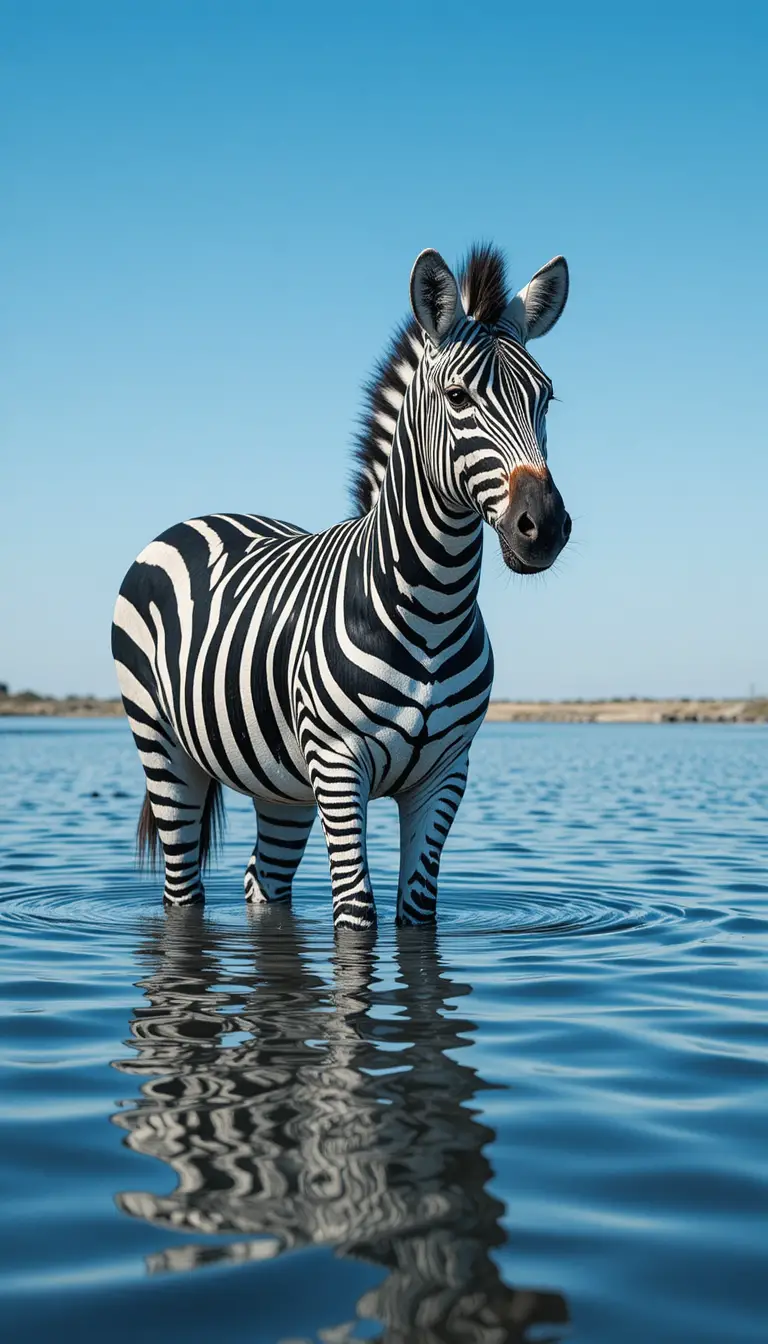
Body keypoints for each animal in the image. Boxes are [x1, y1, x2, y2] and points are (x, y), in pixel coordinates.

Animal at [112, 243, 571, 929]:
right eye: (457, 396)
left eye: (546, 399)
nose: (542, 527)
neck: (433, 607)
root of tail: (199, 518)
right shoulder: (337, 766)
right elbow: (357, 913)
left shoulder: (445, 774)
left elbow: (418, 910)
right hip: (164, 749)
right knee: (181, 890)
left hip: (281, 785)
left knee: (261, 879)